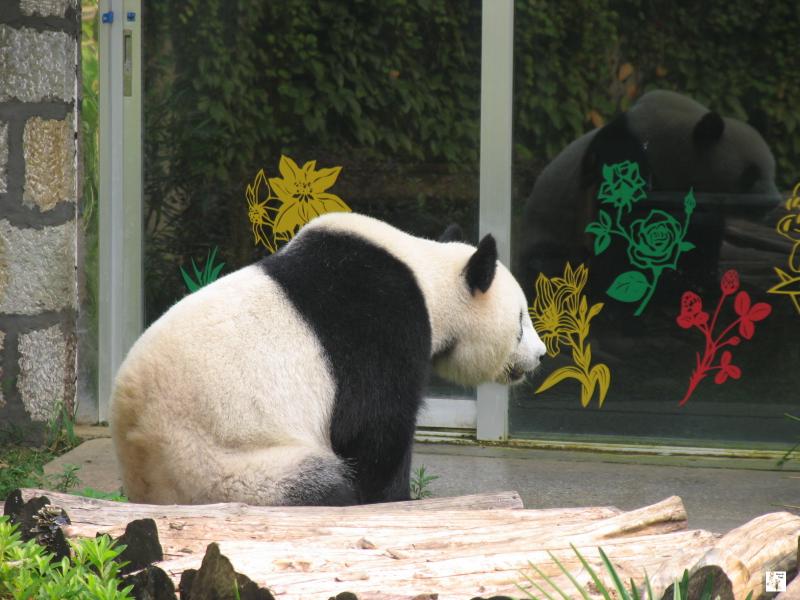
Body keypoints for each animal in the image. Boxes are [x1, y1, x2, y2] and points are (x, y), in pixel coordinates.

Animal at [111, 212, 547, 506]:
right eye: (522, 320)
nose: (541, 356)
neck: (428, 276)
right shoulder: (381, 321)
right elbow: (371, 428)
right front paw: (395, 500)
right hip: (227, 470)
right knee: (324, 484)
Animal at [518, 89, 780, 297]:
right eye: (750, 175)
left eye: (772, 169)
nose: (773, 202)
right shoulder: (624, 154)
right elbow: (625, 224)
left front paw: (702, 282)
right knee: (554, 264)